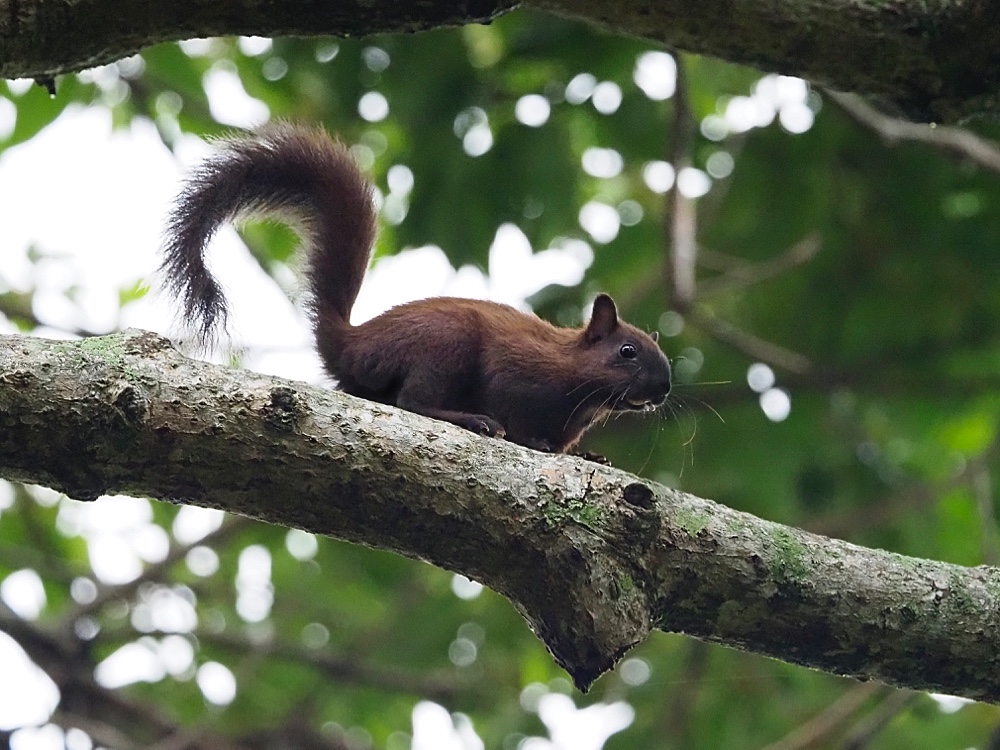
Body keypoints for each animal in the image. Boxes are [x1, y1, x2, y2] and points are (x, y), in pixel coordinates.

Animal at [162, 125, 672, 452]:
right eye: (627, 351)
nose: (664, 389)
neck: (576, 384)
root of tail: (349, 342)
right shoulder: (517, 367)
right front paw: (528, 437)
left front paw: (587, 453)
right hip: (444, 344)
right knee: (414, 403)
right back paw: (473, 420)